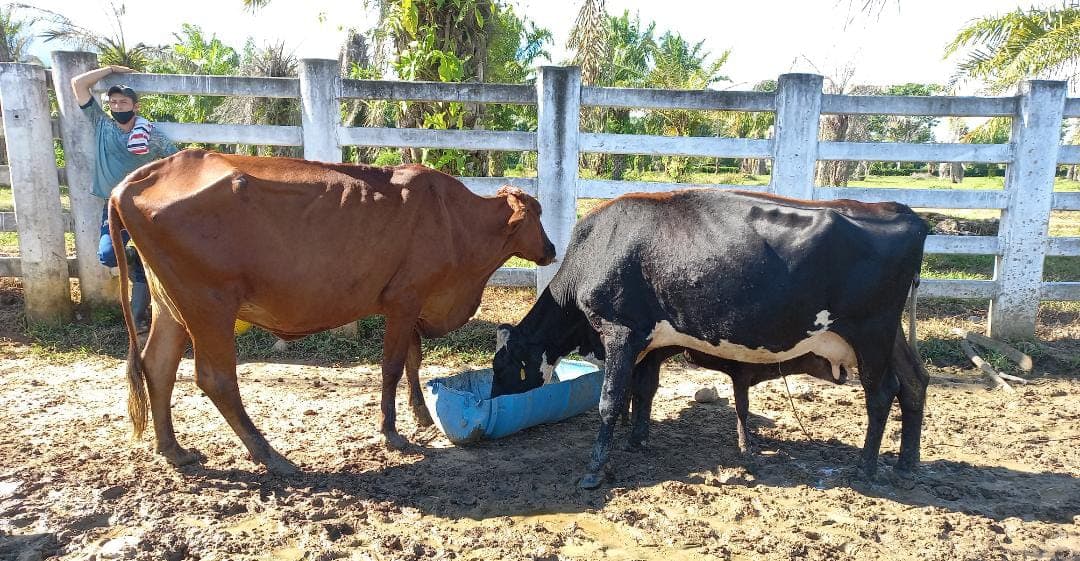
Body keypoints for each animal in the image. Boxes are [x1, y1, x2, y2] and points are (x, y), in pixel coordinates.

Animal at [109, 149, 556, 474]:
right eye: (537, 215)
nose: (551, 249)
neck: (455, 221)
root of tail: (136, 180)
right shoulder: (404, 299)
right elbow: (392, 366)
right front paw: (391, 432)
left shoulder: (412, 303)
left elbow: (413, 360)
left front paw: (421, 414)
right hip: (209, 304)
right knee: (215, 378)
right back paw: (269, 455)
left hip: (171, 305)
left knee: (159, 366)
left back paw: (174, 449)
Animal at [490, 189, 929, 489]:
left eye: (502, 365)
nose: (492, 400)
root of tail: (901, 211)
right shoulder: (651, 342)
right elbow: (642, 390)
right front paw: (638, 440)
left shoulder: (620, 331)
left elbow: (610, 401)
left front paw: (595, 470)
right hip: (888, 337)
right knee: (914, 381)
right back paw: (906, 464)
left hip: (872, 333)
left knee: (881, 392)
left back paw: (867, 468)